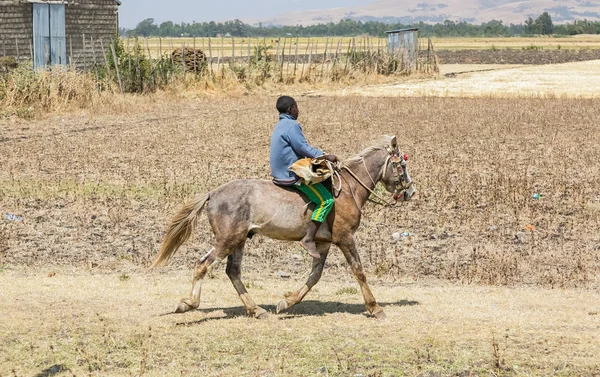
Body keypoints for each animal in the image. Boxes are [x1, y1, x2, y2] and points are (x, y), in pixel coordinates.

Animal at [149, 134, 418, 318]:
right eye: (403, 166)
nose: (411, 192)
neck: (349, 189)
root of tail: (213, 193)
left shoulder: (323, 243)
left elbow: (315, 276)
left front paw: (286, 302)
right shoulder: (345, 238)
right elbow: (359, 271)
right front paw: (375, 307)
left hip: (238, 240)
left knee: (232, 271)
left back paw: (256, 309)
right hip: (228, 240)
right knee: (203, 264)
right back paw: (188, 304)